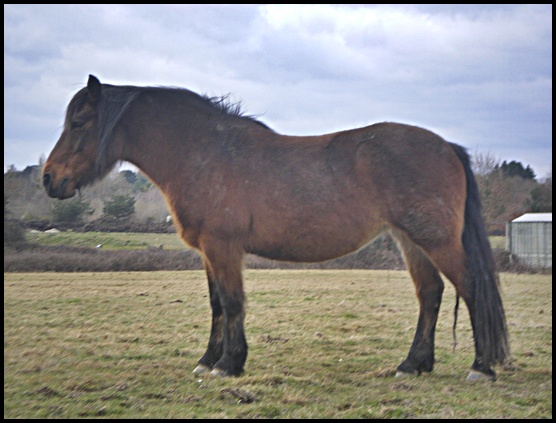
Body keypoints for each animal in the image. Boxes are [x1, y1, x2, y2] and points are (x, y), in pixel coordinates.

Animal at [43, 75, 508, 380]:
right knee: (430, 295)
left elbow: (232, 303)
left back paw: (481, 367)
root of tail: (447, 147)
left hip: (436, 241)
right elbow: (216, 304)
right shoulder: (209, 252)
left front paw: (229, 365)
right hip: (411, 241)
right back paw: (413, 365)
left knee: (471, 288)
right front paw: (209, 360)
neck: (204, 154)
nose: (49, 179)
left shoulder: (224, 247)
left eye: (79, 123)